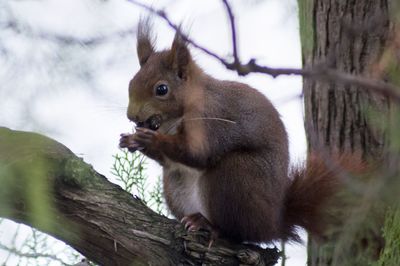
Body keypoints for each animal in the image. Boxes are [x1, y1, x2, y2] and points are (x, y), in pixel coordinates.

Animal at [119, 21, 344, 243]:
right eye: (130, 83)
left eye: (162, 89)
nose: (132, 116)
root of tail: (272, 224)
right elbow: (169, 160)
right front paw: (131, 140)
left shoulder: (212, 120)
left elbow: (199, 154)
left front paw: (152, 140)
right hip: (174, 183)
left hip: (235, 176)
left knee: (237, 231)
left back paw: (208, 224)